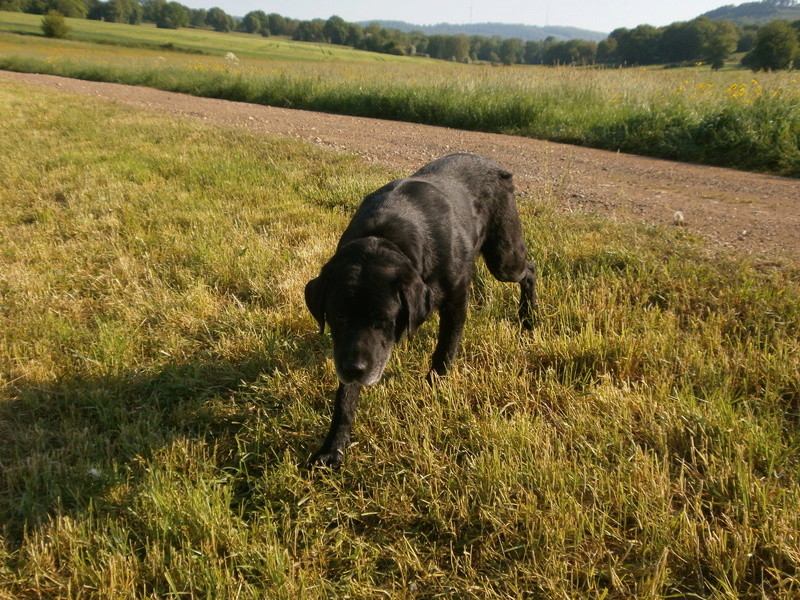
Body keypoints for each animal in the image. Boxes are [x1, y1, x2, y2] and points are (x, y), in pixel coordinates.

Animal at [306, 155, 536, 468]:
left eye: (383, 319)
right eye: (338, 315)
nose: (354, 370)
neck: (387, 236)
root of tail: (493, 164)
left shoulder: (455, 303)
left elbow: (444, 353)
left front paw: (431, 395)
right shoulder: (351, 348)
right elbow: (345, 397)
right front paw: (333, 448)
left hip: (504, 257)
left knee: (529, 271)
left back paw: (528, 319)